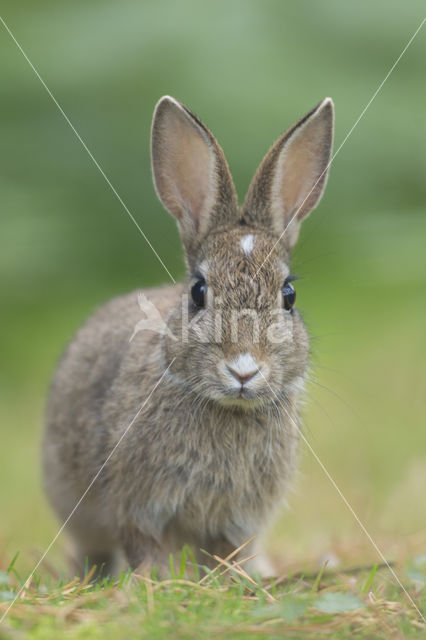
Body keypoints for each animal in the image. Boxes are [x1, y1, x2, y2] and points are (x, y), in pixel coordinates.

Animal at [44, 95, 336, 580]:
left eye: (288, 296)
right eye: (199, 292)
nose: (244, 369)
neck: (228, 409)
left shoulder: (236, 521)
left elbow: (226, 554)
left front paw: (235, 583)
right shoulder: (139, 507)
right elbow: (145, 548)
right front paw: (151, 584)